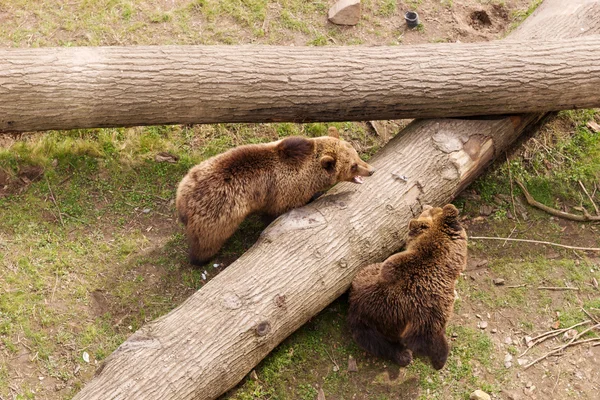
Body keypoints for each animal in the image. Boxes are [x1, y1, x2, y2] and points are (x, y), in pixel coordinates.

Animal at [176, 128, 376, 266]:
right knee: (205, 243)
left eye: (356, 154)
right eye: (353, 165)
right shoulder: (284, 195)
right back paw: (201, 259)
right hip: (217, 218)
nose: (371, 170)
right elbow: (276, 213)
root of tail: (183, 202)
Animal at [346, 205, 468, 370]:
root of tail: (354, 309)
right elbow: (426, 336)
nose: (425, 206)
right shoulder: (431, 308)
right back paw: (406, 355)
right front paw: (440, 359)